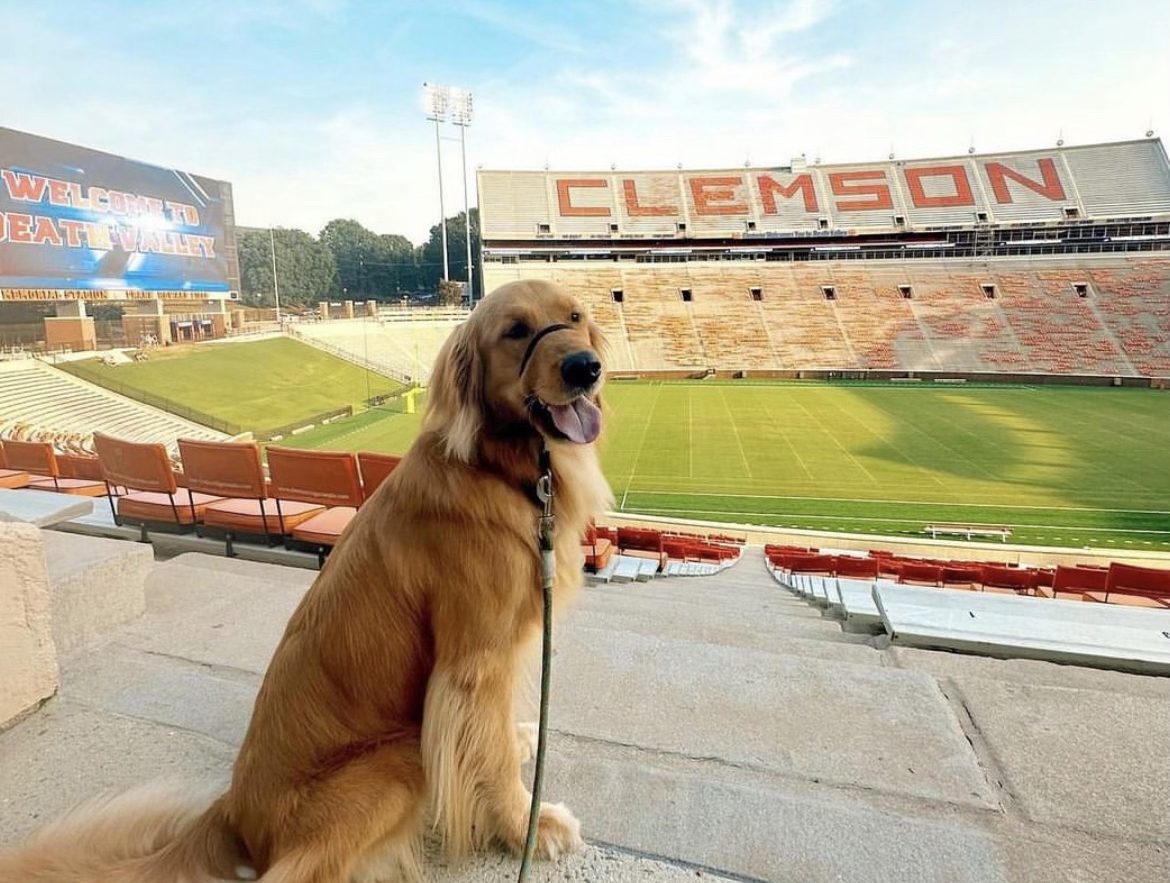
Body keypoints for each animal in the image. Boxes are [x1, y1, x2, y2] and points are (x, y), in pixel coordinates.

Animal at [0, 279, 617, 879]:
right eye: (516, 330)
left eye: (575, 316)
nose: (585, 367)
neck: (499, 468)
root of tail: (234, 810)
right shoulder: (473, 663)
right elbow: (488, 758)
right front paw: (525, 826)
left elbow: (491, 736)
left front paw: (516, 742)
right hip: (397, 759)